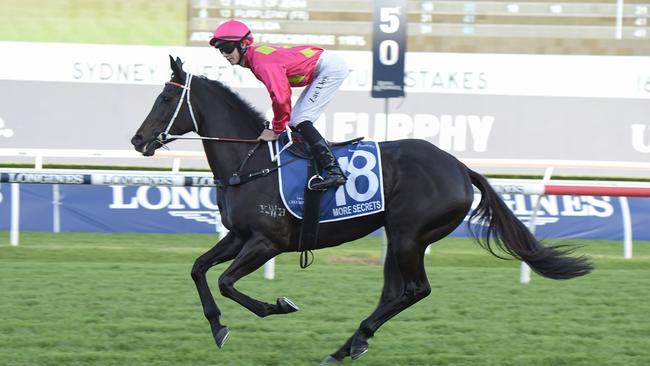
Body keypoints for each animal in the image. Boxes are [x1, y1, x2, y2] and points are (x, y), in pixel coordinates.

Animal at [129, 57, 588, 364]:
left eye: (166, 96)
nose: (138, 140)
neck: (251, 160)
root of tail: (460, 168)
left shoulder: (268, 242)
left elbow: (226, 281)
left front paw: (277, 306)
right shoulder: (239, 236)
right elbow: (199, 270)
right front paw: (218, 326)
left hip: (409, 234)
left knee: (415, 290)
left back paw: (350, 343)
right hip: (397, 237)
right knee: (394, 292)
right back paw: (351, 344)